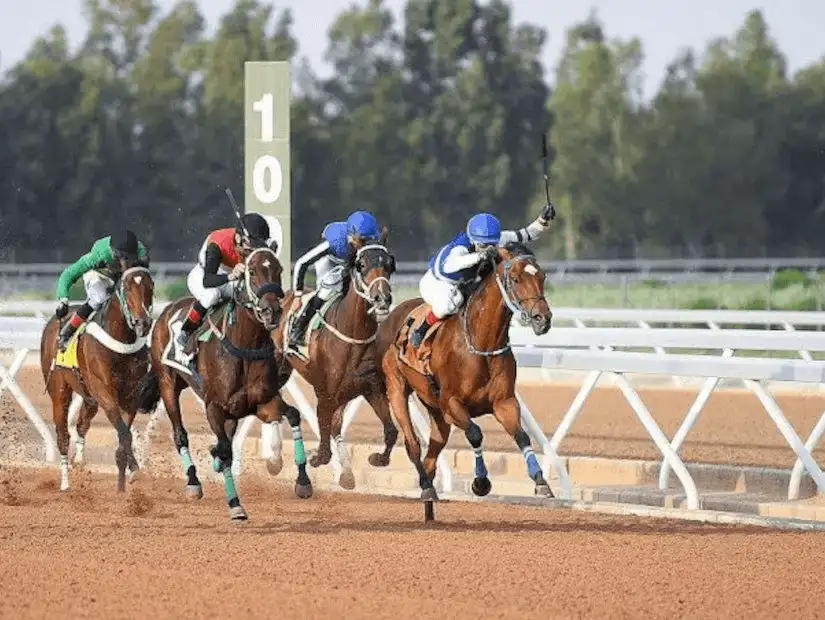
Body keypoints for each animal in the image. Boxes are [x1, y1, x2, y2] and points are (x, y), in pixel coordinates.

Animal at [39, 266, 156, 494]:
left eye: (151, 287)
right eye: (126, 288)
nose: (143, 323)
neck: (120, 342)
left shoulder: (131, 396)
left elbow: (124, 434)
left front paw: (128, 476)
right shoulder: (104, 392)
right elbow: (124, 434)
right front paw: (130, 474)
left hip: (88, 397)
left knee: (82, 424)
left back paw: (79, 461)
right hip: (60, 392)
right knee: (63, 435)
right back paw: (65, 482)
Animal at [142, 245, 306, 520]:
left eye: (279, 269)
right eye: (252, 271)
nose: (272, 310)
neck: (244, 347)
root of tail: (166, 310)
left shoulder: (263, 402)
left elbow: (293, 415)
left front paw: (304, 480)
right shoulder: (214, 408)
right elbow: (226, 451)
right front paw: (235, 504)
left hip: (232, 411)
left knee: (225, 440)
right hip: (168, 385)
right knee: (181, 435)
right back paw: (193, 482)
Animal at [272, 232, 398, 490]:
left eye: (389, 264)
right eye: (361, 265)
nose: (382, 298)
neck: (353, 335)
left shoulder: (371, 389)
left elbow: (391, 431)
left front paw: (377, 458)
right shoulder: (325, 392)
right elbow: (324, 433)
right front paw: (316, 457)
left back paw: (346, 474)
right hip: (276, 367)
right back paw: (275, 459)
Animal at [376, 242, 552, 504]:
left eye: (542, 276)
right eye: (516, 278)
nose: (543, 319)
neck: (482, 345)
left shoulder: (504, 402)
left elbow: (521, 436)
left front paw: (540, 480)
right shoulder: (451, 403)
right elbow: (475, 433)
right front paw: (481, 482)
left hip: (434, 408)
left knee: (435, 445)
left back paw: (429, 484)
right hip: (397, 388)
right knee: (413, 442)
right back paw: (426, 485)